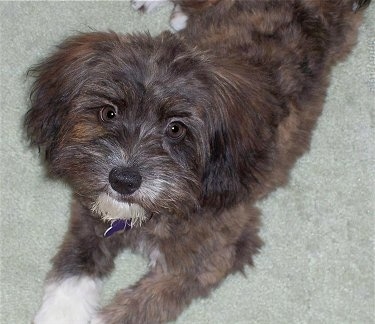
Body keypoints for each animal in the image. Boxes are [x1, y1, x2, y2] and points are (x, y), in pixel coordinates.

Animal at [25, 0, 370, 324]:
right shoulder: (91, 208)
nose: (123, 180)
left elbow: (144, 304)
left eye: (176, 128)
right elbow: (74, 266)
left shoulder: (213, 256)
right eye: (109, 112)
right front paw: (59, 313)